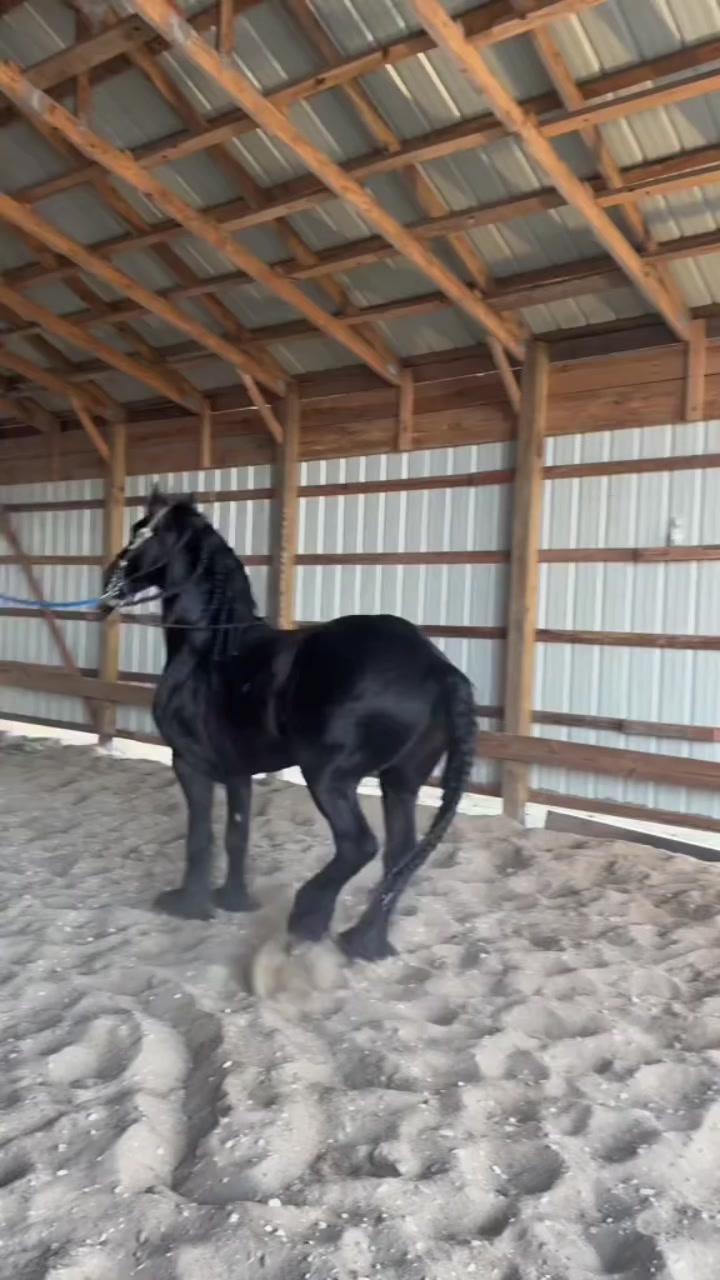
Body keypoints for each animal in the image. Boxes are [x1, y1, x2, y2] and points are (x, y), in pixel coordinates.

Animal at [102, 488, 476, 961]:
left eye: (141, 532)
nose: (109, 584)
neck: (211, 650)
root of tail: (439, 670)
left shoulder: (188, 763)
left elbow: (200, 837)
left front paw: (188, 904)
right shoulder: (237, 771)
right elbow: (236, 834)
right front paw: (234, 899)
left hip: (330, 777)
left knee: (359, 846)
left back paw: (308, 918)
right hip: (400, 782)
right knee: (398, 856)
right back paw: (365, 941)